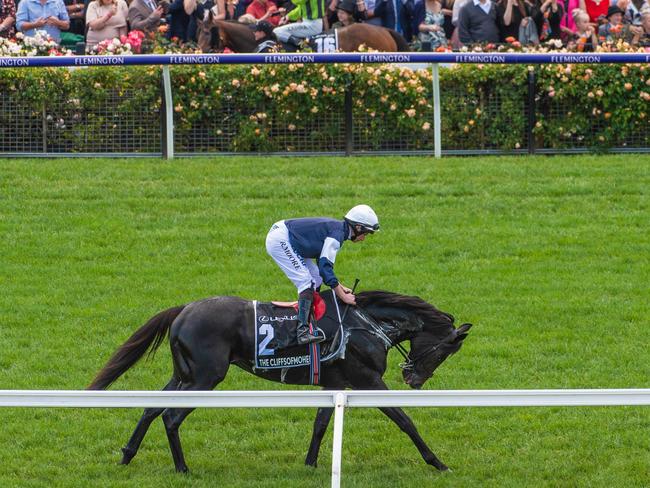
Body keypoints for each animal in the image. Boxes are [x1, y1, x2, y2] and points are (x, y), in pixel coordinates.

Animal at [88, 290, 468, 472]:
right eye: (444, 351)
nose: (414, 378)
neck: (365, 324)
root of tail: (184, 310)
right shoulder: (368, 381)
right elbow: (404, 419)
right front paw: (437, 462)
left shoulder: (335, 385)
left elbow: (321, 423)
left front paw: (310, 464)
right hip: (206, 378)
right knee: (170, 416)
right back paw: (182, 468)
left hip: (184, 375)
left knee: (152, 408)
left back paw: (127, 454)